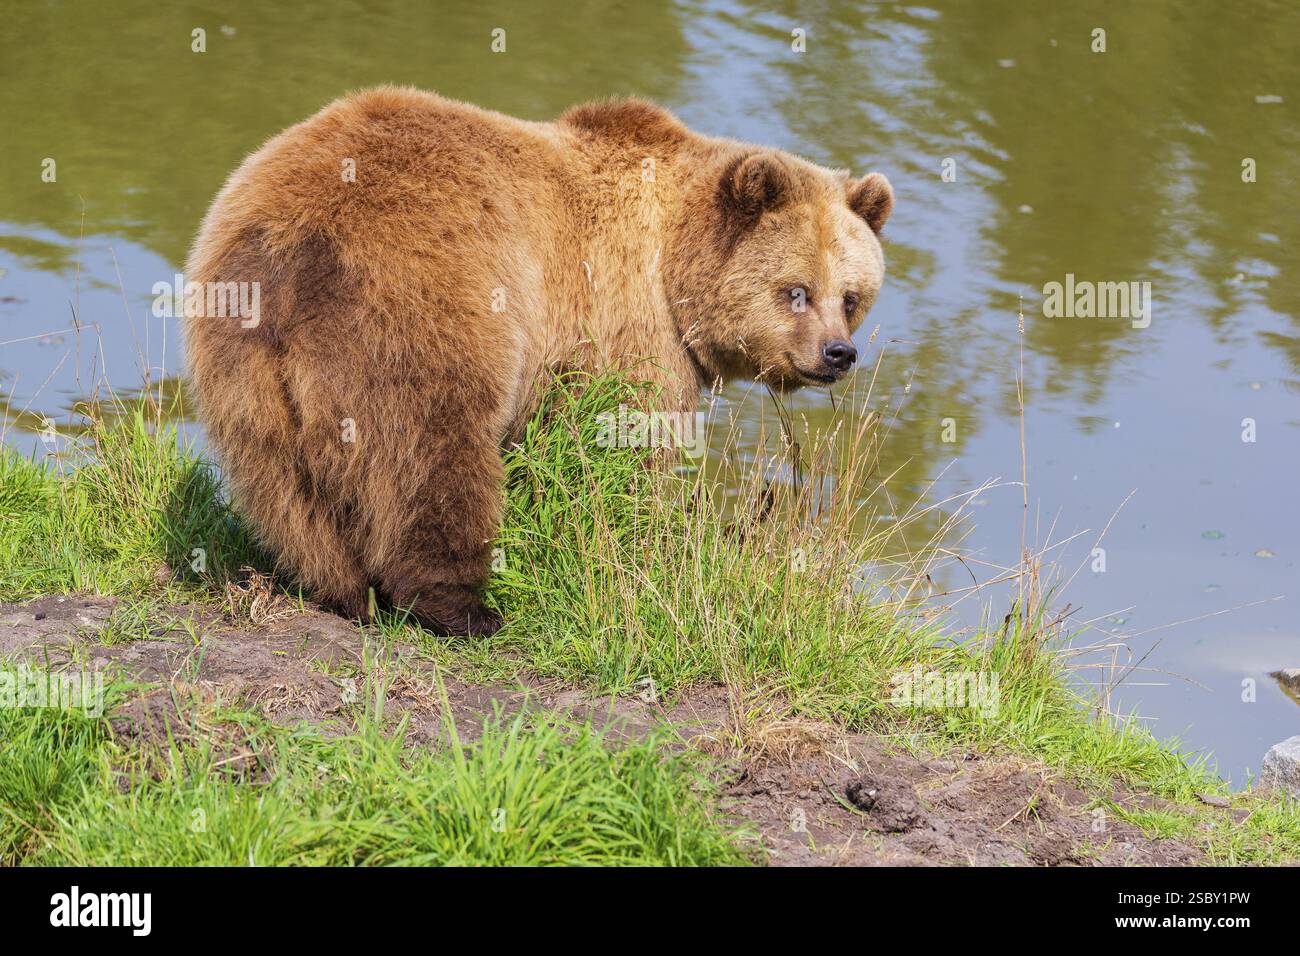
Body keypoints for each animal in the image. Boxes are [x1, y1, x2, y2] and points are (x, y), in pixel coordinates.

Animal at [183, 86, 893, 636]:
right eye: (795, 290)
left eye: (851, 295)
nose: (838, 353)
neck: (671, 264)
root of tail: (293, 244)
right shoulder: (619, 323)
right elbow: (621, 448)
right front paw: (645, 546)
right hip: (423, 303)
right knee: (429, 450)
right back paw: (463, 606)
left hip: (242, 356)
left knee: (284, 481)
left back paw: (341, 587)